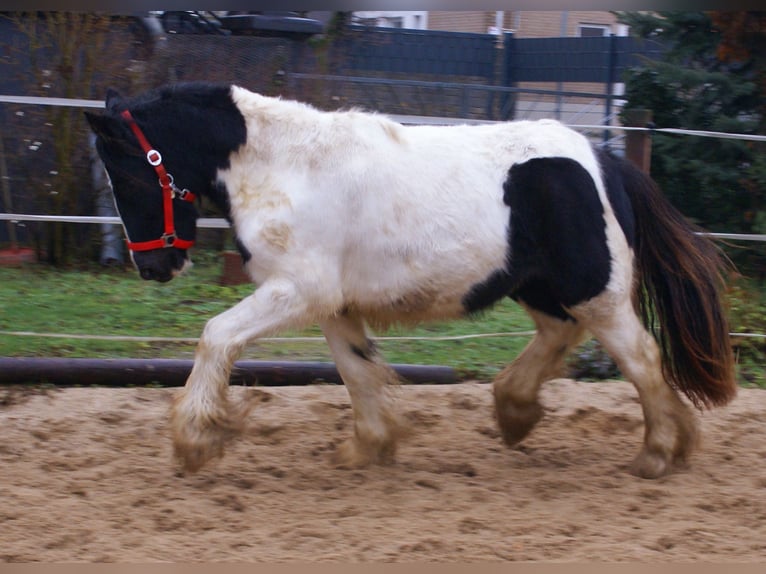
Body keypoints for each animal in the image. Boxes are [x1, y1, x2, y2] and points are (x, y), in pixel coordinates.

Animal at [85, 83, 736, 480]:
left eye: (129, 177)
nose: (153, 267)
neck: (285, 168)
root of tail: (605, 162)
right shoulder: (331, 304)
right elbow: (355, 371)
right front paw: (367, 446)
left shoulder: (299, 291)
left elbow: (216, 335)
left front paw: (196, 440)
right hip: (538, 287)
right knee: (560, 336)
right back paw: (518, 411)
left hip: (592, 291)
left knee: (641, 357)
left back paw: (657, 453)